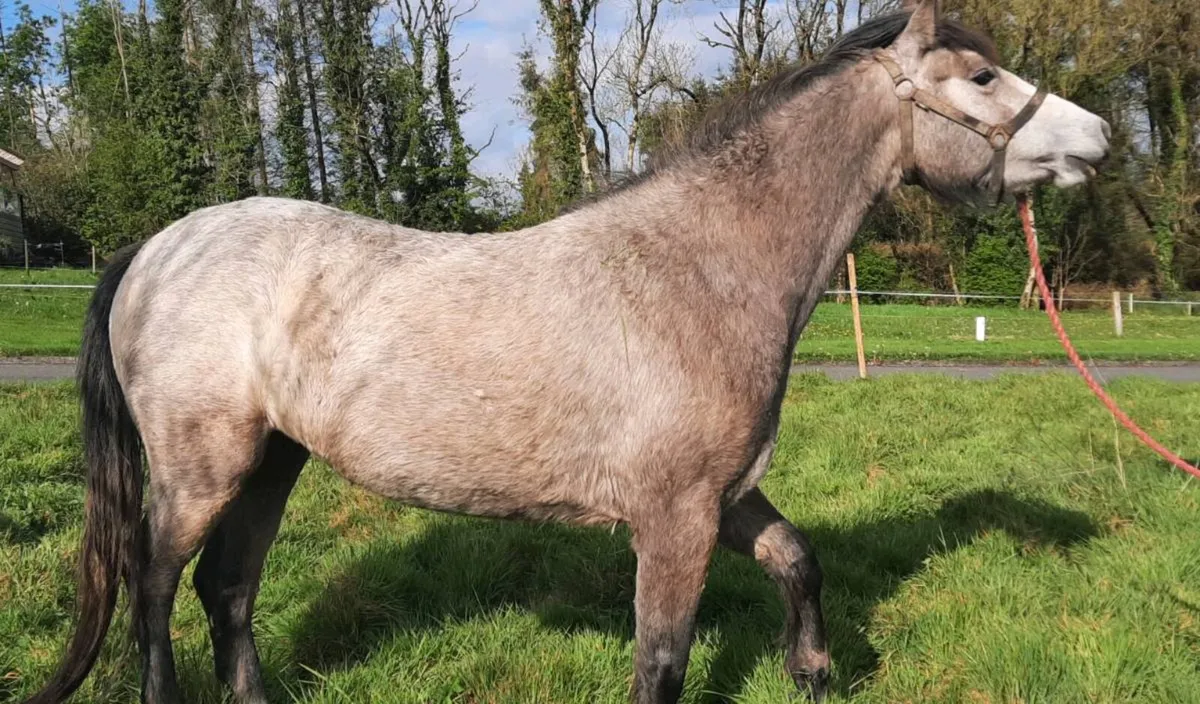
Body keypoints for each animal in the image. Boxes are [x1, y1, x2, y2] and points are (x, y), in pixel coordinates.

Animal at [24, 2, 1110, 703]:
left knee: (228, 588)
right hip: (202, 468)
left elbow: (797, 559)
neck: (699, 269)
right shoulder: (671, 519)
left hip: (272, 461)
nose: (1098, 135)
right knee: (156, 587)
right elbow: (661, 664)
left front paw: (812, 670)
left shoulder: (718, 495)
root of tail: (158, 247)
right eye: (982, 78)